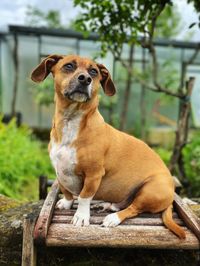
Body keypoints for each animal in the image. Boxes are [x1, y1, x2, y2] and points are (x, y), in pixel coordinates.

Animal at [31, 54, 186, 239]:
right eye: (68, 66)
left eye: (93, 71)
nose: (85, 79)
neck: (71, 122)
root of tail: (171, 194)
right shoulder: (59, 170)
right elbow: (66, 190)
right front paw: (67, 203)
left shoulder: (93, 175)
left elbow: (84, 197)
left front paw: (81, 216)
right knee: (124, 204)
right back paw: (108, 205)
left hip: (149, 190)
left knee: (133, 208)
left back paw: (113, 218)